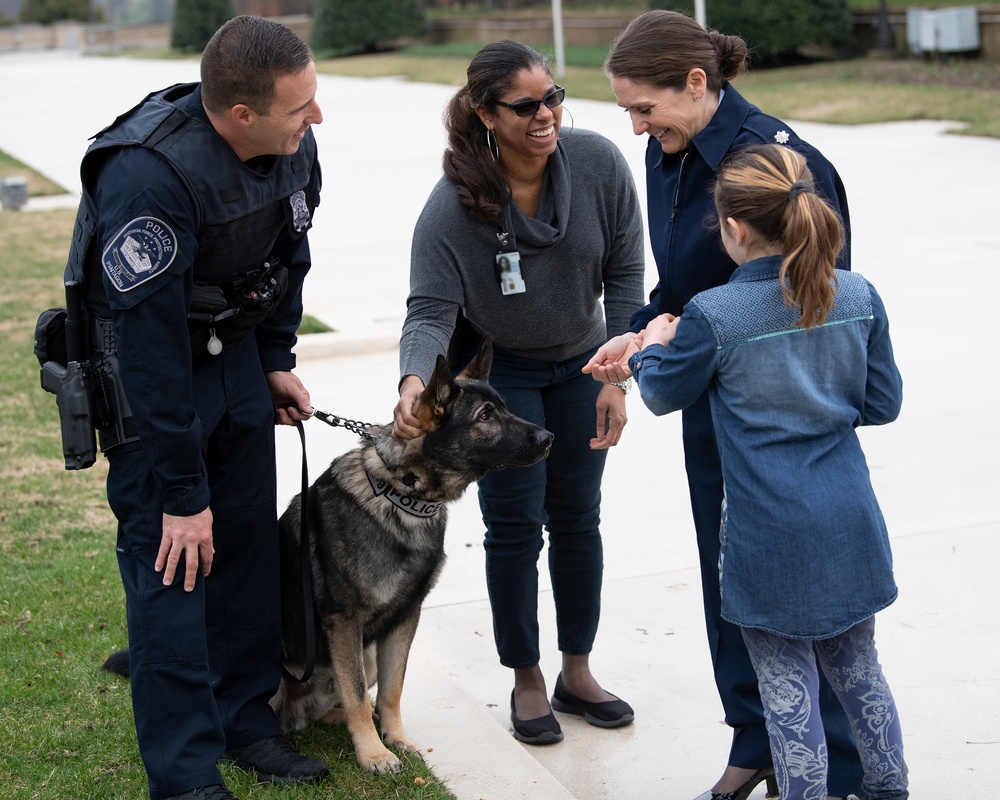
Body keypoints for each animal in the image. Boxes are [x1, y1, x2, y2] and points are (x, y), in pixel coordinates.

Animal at [270, 334, 556, 772]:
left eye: (505, 408)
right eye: (486, 416)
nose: (548, 439)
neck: (402, 496)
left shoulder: (405, 619)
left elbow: (391, 690)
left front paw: (396, 739)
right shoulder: (344, 622)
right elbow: (357, 694)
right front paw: (373, 754)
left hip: (365, 656)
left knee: (325, 709)